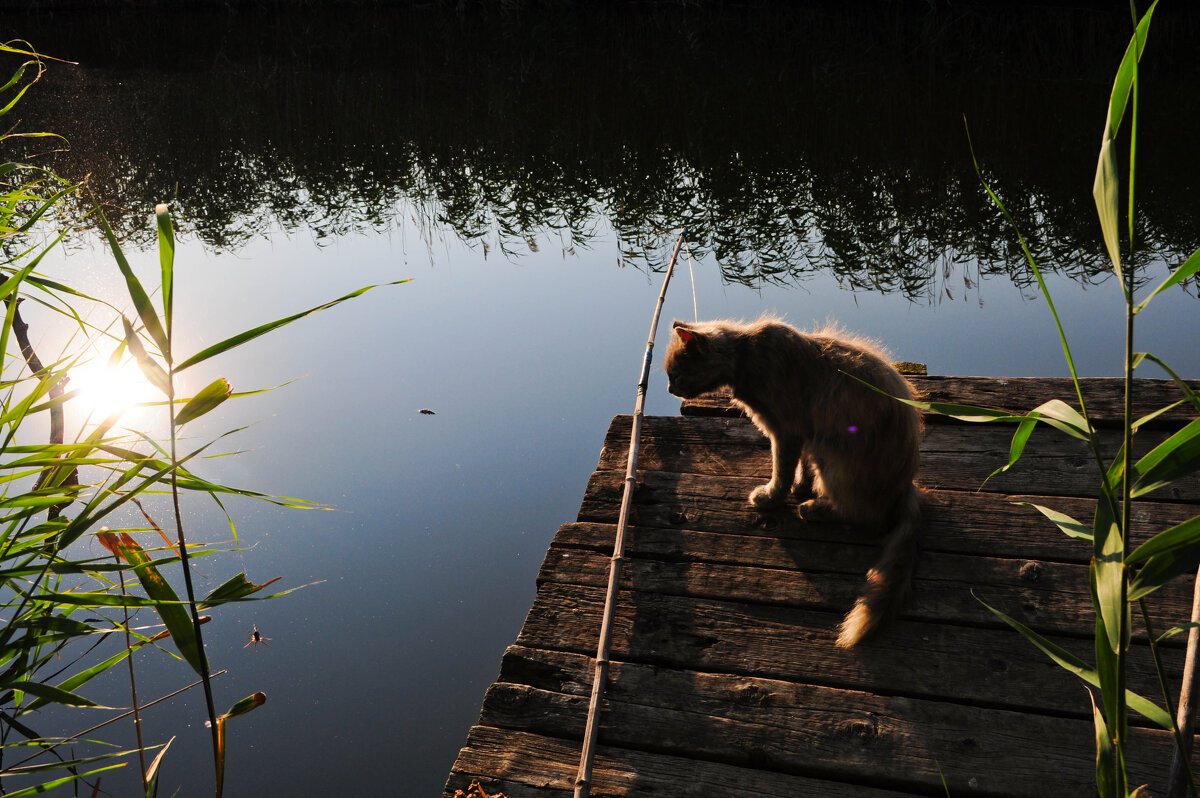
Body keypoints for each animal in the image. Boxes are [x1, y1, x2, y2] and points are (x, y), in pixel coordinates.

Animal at [662, 314, 921, 643]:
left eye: (676, 373)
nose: (669, 389)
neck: (745, 355)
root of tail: (906, 486)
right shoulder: (805, 434)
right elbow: (801, 468)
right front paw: (800, 487)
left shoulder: (786, 430)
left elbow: (782, 470)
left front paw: (771, 497)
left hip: (835, 456)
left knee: (866, 516)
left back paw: (815, 509)